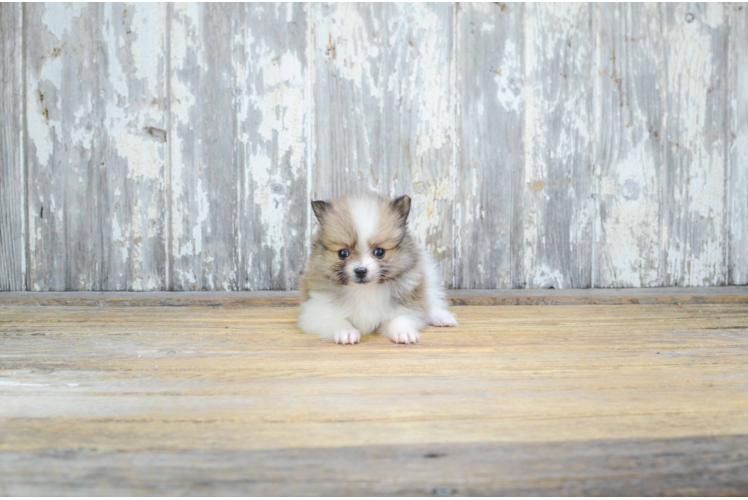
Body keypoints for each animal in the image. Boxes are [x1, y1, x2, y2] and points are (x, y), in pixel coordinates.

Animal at [298, 193, 456, 346]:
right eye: (343, 253)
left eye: (379, 252)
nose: (361, 270)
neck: (364, 291)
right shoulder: (317, 311)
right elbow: (337, 320)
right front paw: (346, 332)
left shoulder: (408, 303)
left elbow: (401, 318)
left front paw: (403, 332)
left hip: (428, 275)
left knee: (431, 301)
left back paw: (442, 317)